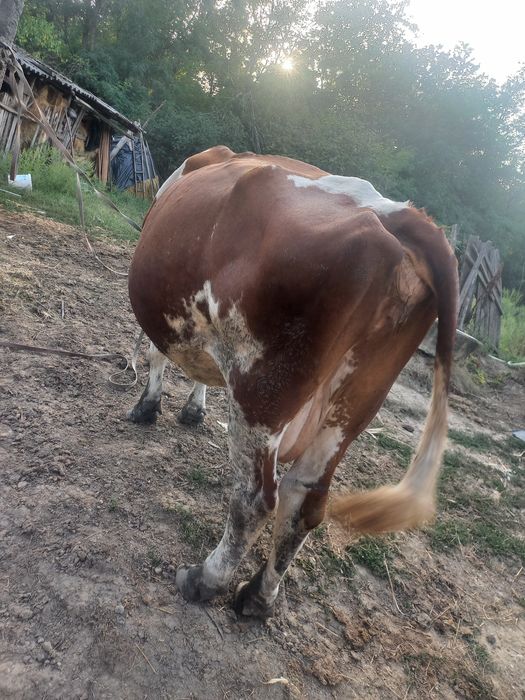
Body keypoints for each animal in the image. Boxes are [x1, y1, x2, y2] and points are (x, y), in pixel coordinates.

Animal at [128, 146, 458, 617]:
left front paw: (148, 405)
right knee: (305, 499)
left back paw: (205, 579)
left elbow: (158, 353)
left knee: (255, 498)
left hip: (262, 390)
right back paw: (259, 596)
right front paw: (193, 408)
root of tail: (398, 213)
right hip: (356, 399)